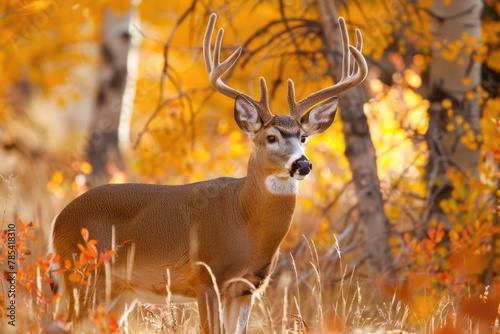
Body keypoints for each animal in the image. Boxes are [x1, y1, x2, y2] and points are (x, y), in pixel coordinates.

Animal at [49, 12, 368, 332]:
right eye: (271, 137)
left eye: (303, 137)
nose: (302, 164)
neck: (245, 222)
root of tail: (57, 222)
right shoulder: (206, 277)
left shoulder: (247, 287)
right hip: (84, 274)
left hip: (120, 291)